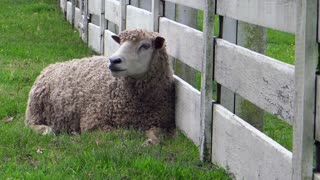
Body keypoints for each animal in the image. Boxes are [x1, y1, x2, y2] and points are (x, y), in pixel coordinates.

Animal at [25, 29, 175, 143]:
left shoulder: (160, 123)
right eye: (120, 43)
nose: (113, 61)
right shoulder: (93, 123)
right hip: (36, 110)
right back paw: (47, 130)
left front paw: (150, 140)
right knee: (30, 125)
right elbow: (121, 133)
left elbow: (157, 134)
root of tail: (51, 66)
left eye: (145, 46)